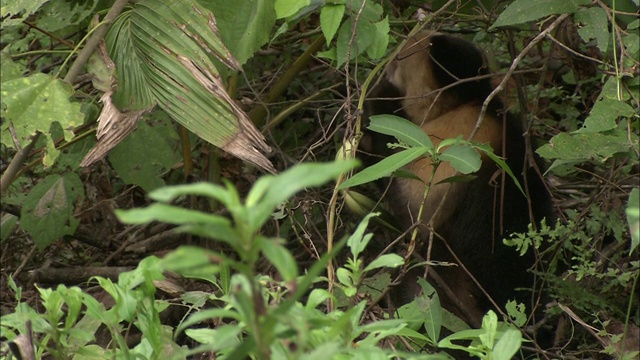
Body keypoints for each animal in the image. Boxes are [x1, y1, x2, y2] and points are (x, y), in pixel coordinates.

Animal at [360, 30, 556, 330]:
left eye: (398, 62)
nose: (383, 64)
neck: (467, 103)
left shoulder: (450, 145)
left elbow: (411, 210)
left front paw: (381, 99)